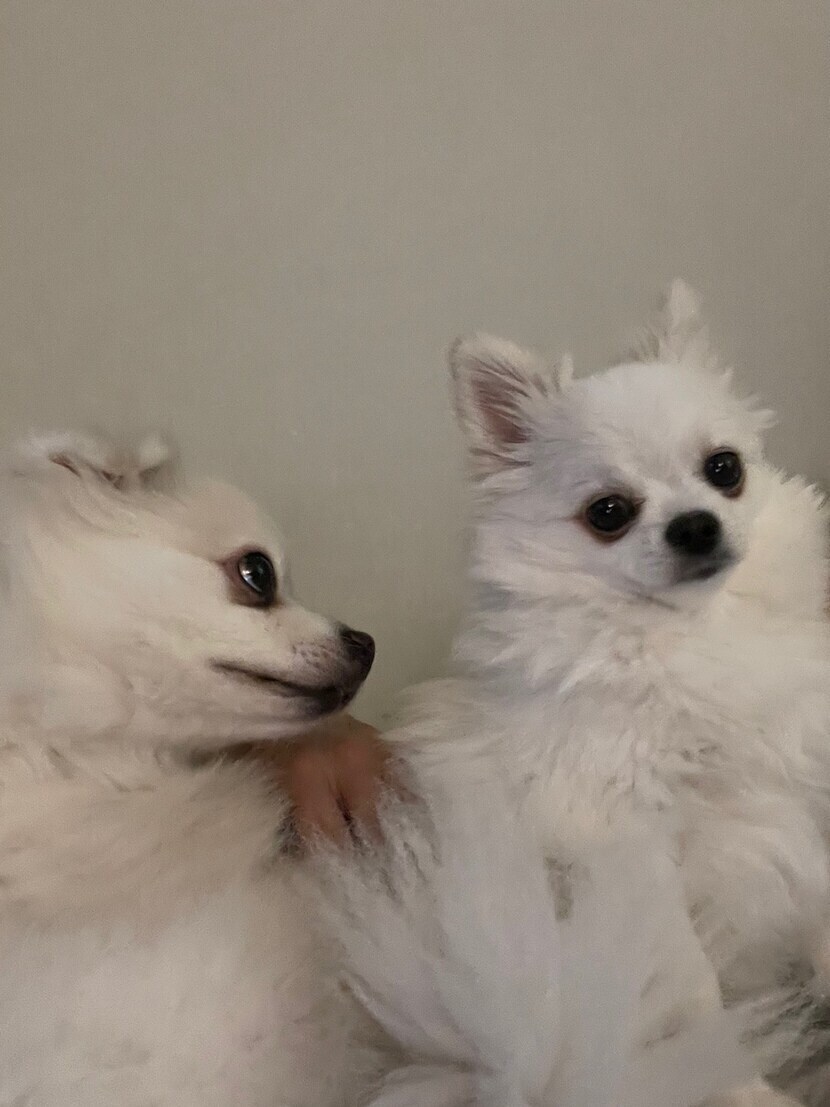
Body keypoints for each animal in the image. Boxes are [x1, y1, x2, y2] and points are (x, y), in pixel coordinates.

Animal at [361, 282, 830, 1105]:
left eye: (725, 469)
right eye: (608, 513)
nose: (695, 525)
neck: (683, 635)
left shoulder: (797, 797)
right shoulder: (628, 853)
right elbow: (698, 1000)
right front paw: (747, 1091)